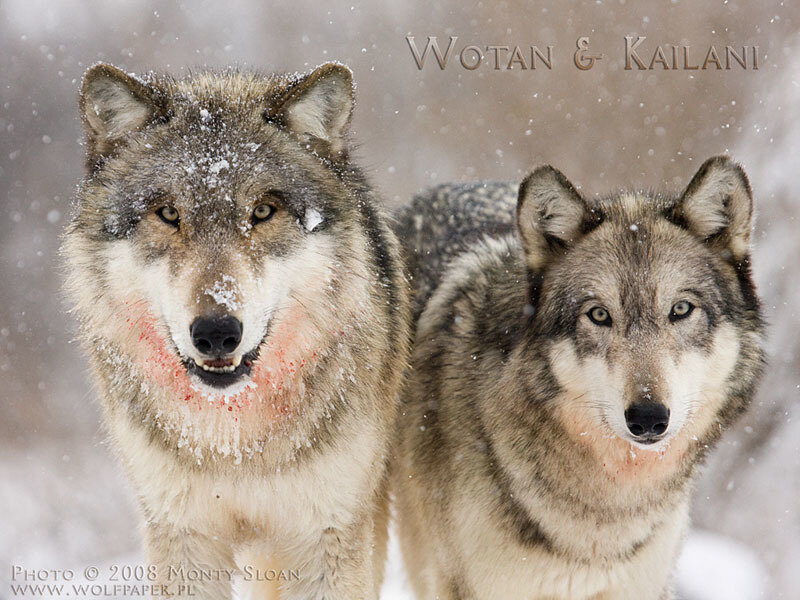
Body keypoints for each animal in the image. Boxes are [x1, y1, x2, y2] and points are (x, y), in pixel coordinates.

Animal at [62, 62, 410, 600]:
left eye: (263, 211)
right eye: (168, 213)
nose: (217, 332)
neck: (237, 443)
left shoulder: (329, 534)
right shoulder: (181, 534)